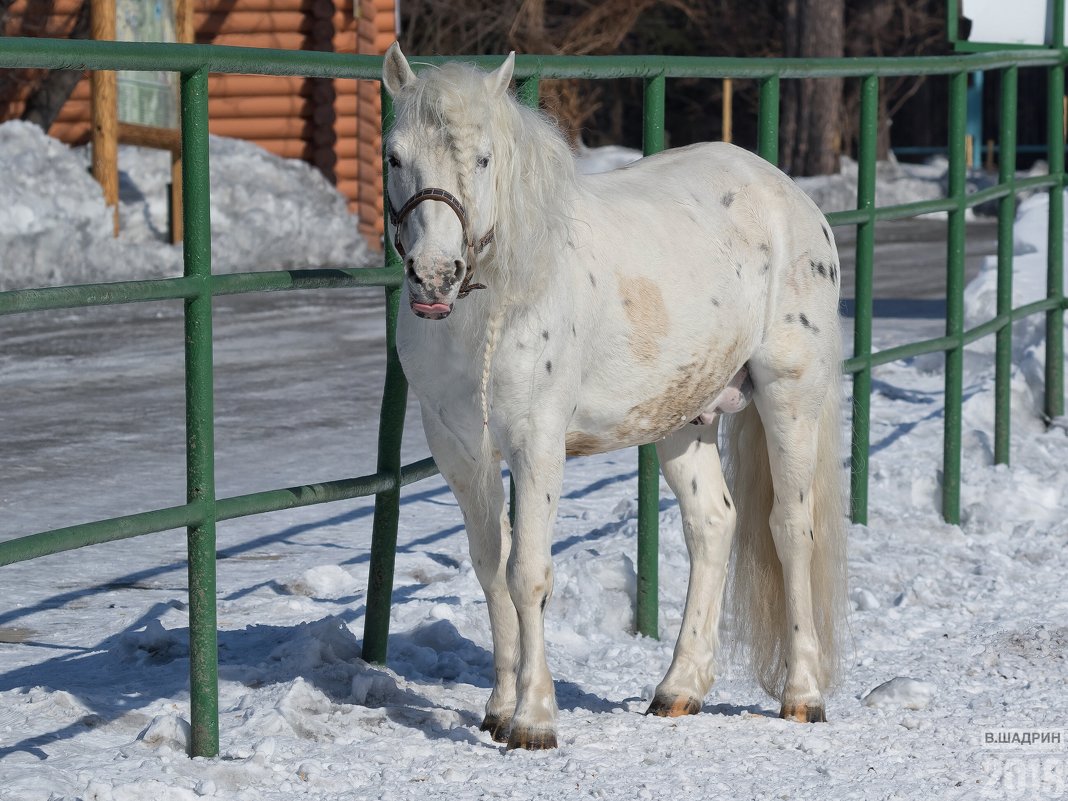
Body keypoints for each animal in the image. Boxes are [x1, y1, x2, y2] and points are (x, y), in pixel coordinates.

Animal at [380, 45, 845, 751]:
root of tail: (792, 198)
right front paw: (497, 710)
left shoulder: (538, 444)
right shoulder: (461, 451)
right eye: (394, 157)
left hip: (789, 396)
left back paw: (803, 696)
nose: (435, 276)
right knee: (713, 525)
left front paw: (534, 720)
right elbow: (490, 568)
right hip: (684, 417)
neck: (496, 305)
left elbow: (527, 574)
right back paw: (678, 690)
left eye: (483, 159)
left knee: (790, 530)